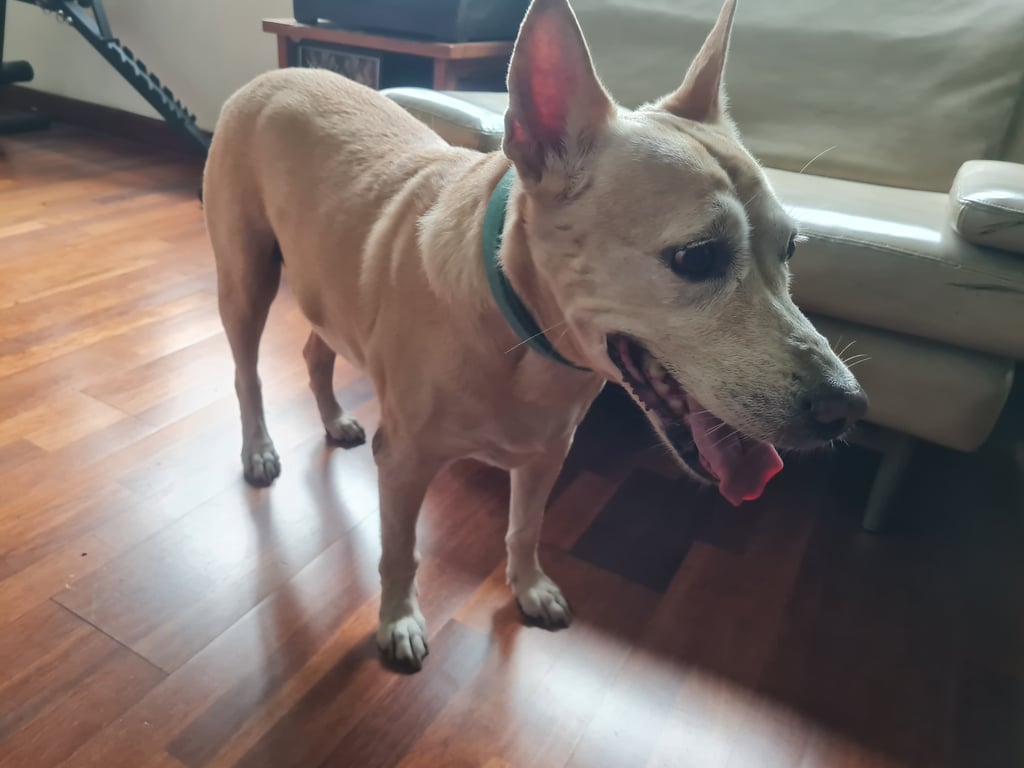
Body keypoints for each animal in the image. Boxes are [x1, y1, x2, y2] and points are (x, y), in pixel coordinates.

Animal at [202, 0, 867, 670]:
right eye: (697, 257)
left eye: (790, 248)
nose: (848, 407)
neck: (525, 342)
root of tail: (278, 76)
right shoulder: (405, 462)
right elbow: (400, 551)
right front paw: (398, 620)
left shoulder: (547, 454)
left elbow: (525, 529)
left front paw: (528, 589)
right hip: (246, 279)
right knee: (245, 373)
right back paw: (258, 449)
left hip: (325, 289)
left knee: (316, 349)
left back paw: (335, 418)